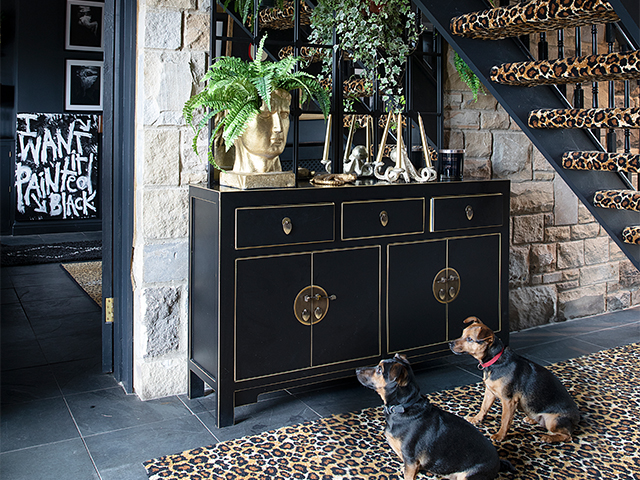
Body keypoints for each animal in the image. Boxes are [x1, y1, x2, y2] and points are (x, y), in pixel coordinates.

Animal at [356, 352, 516, 480]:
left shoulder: (411, 460)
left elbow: (409, 474)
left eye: (379, 369)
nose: (357, 369)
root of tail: (498, 463)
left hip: (467, 477)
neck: (404, 408)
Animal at [450, 316, 580, 444]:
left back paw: (548, 437)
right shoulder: (490, 392)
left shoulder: (509, 401)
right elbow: (484, 407)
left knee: (567, 436)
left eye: (469, 339)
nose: (450, 343)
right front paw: (476, 419)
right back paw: (532, 419)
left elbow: (505, 420)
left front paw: (500, 436)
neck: (495, 361)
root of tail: (577, 418)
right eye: (462, 334)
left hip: (553, 420)